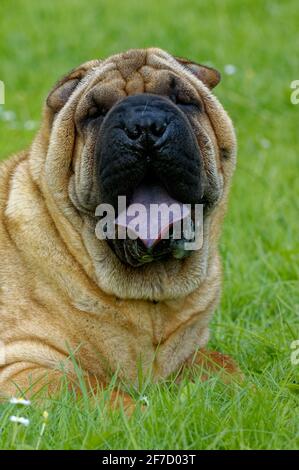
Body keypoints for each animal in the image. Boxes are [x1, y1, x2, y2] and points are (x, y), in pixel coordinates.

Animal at [0, 47, 239, 404]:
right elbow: (98, 394)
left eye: (182, 100)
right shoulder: (22, 367)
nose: (145, 124)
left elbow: (231, 369)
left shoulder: (192, 352)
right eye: (96, 113)